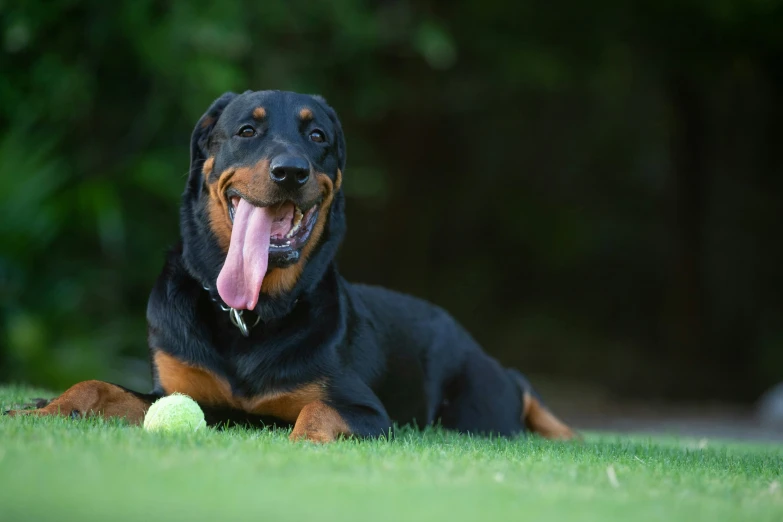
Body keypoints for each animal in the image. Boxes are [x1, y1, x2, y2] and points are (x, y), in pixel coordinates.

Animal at [6, 91, 580, 440]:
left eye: (318, 136)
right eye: (245, 131)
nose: (290, 171)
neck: (250, 315)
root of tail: (487, 357)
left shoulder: (367, 411)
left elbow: (317, 410)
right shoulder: (174, 391)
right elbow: (95, 386)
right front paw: (41, 408)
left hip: (476, 411)